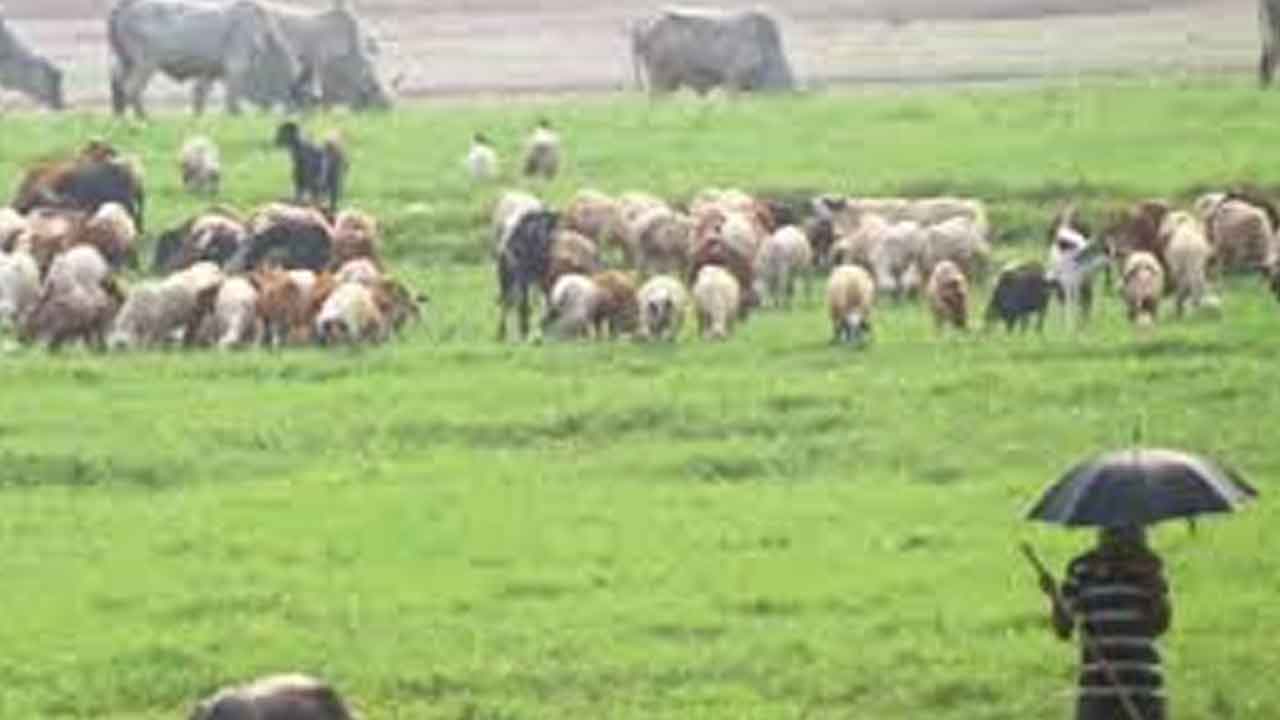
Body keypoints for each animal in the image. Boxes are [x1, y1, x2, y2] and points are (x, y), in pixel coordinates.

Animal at [107, 0, 310, 118]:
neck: (264, 35)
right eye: (304, 94)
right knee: (131, 89)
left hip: (126, 62)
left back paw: (120, 115)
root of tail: (124, 5)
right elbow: (232, 94)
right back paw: (144, 118)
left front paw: (198, 116)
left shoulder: (211, 71)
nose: (303, 115)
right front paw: (236, 114)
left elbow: (200, 94)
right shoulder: (237, 66)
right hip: (146, 64)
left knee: (118, 84)